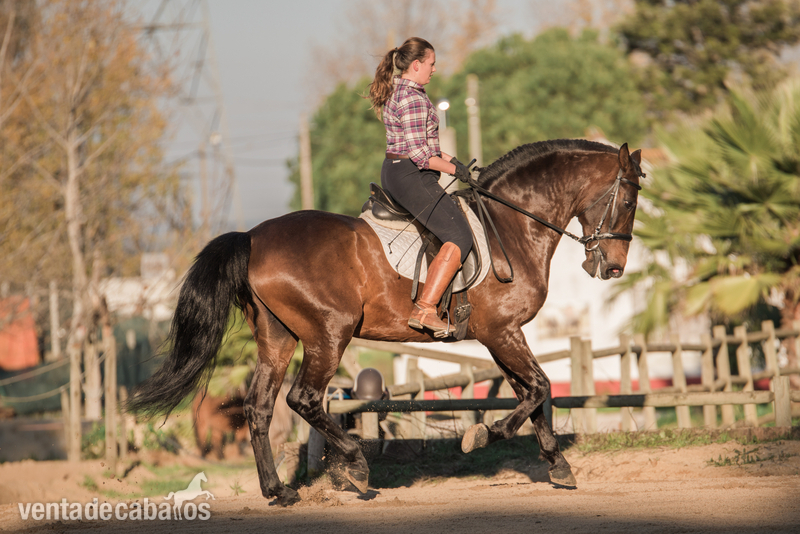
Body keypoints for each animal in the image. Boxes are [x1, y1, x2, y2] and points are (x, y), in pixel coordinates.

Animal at [128, 139, 644, 507]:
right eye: (629, 203)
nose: (614, 269)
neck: (512, 226)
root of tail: (253, 237)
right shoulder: (501, 332)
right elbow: (538, 388)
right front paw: (485, 435)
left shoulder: (499, 336)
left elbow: (533, 393)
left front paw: (557, 465)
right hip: (329, 333)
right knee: (303, 398)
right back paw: (354, 468)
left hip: (278, 337)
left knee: (259, 407)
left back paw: (279, 491)